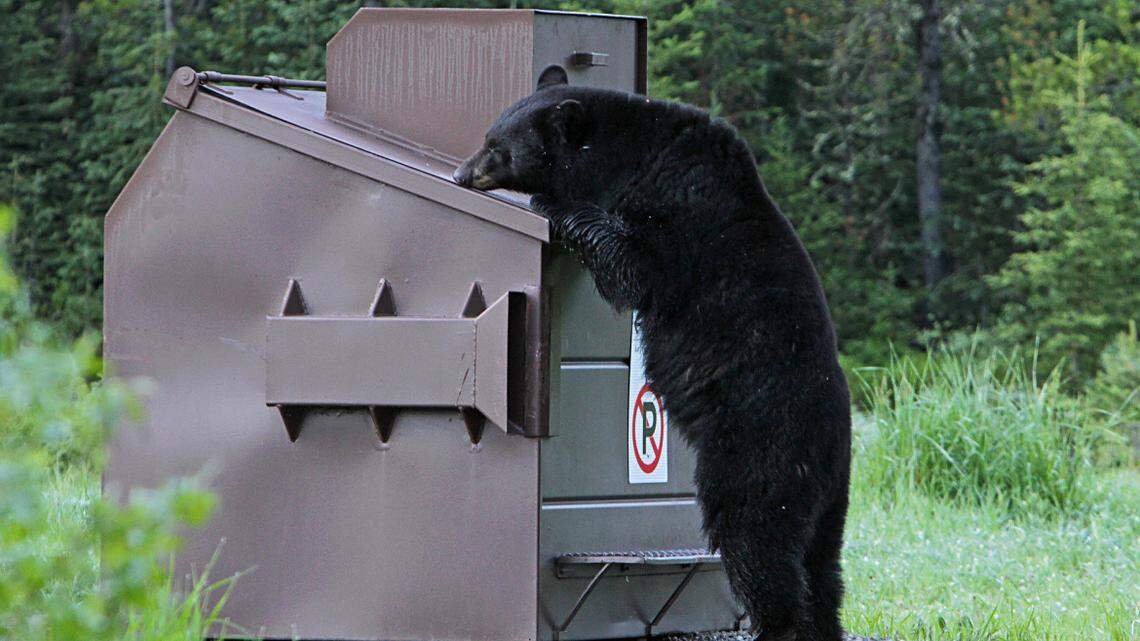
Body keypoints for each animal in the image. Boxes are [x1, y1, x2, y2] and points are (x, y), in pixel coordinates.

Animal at [454, 67, 852, 641]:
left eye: (497, 147)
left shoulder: (678, 208)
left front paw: (556, 206)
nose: (462, 174)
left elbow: (633, 267)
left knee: (756, 540)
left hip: (758, 453)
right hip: (827, 501)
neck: (636, 154)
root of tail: (831, 443)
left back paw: (774, 622)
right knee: (823, 569)